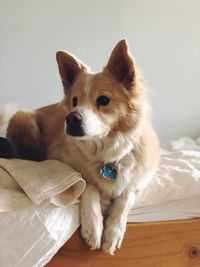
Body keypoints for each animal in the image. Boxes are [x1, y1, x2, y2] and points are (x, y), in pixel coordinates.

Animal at [4, 39, 160, 255]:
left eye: (103, 100)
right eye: (75, 101)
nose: (71, 119)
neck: (107, 153)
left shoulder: (142, 177)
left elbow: (126, 196)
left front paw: (113, 232)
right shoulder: (62, 162)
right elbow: (88, 185)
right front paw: (93, 226)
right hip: (23, 121)